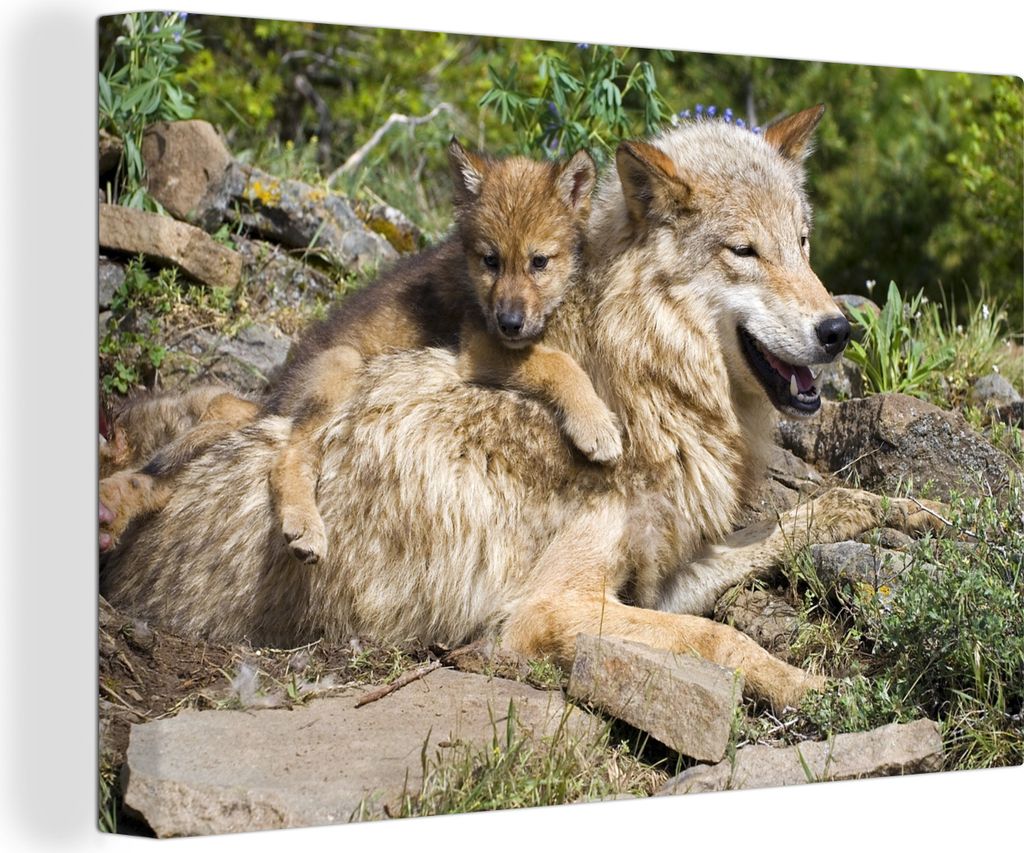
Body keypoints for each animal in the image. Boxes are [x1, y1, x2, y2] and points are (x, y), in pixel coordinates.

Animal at [99, 140, 618, 561]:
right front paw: (596, 425)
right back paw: (305, 528)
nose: (510, 322)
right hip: (342, 367)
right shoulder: (478, 347)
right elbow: (558, 362)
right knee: (285, 457)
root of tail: (277, 396)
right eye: (490, 260)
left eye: (539, 262)